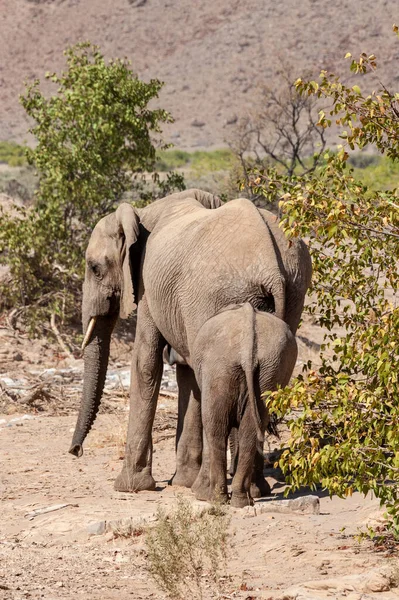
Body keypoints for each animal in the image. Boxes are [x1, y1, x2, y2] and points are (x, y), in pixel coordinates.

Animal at [192, 304, 298, 506]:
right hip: (264, 369)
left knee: (218, 427)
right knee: (241, 429)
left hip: (230, 367)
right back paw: (238, 500)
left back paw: (221, 499)